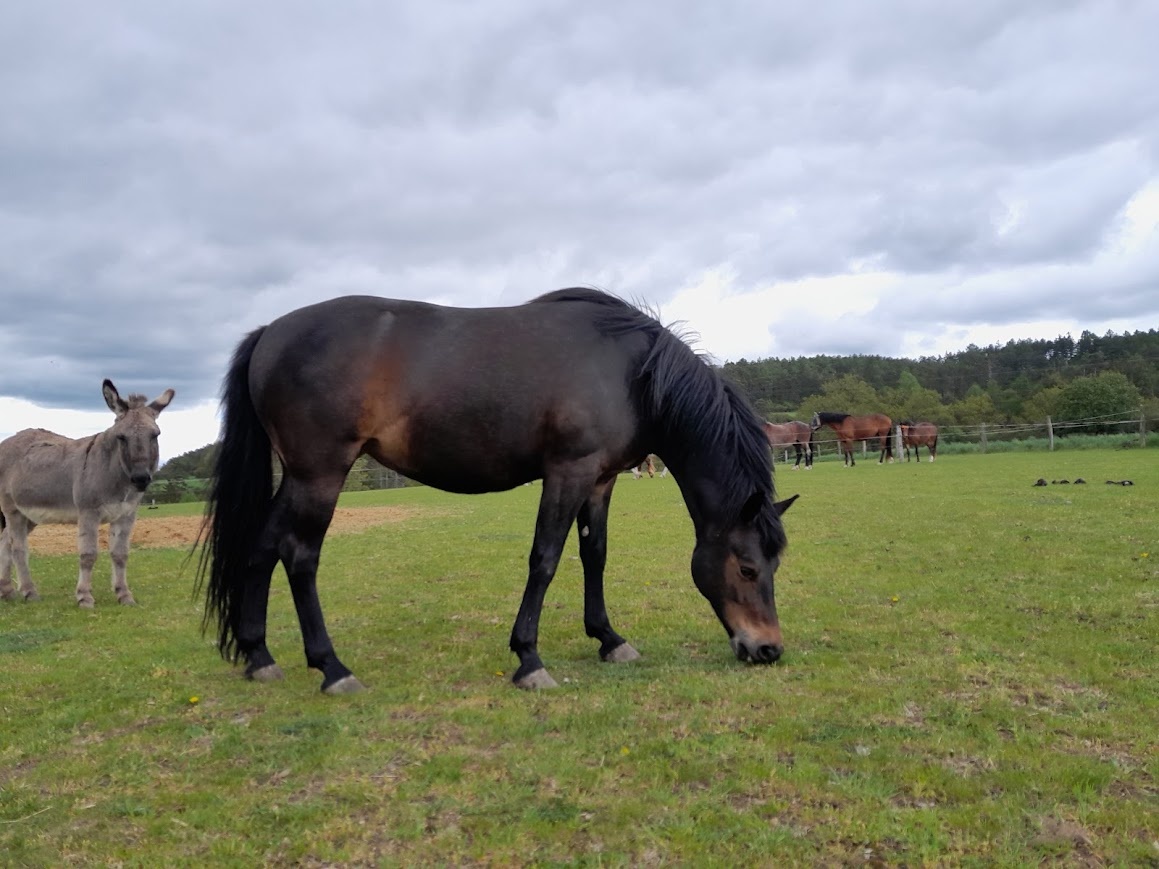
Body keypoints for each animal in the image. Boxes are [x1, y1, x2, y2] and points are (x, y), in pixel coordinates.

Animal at [0, 380, 174, 607]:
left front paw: (124, 595)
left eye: (155, 435)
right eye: (121, 437)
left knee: (5, 542)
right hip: (12, 509)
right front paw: (84, 597)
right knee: (18, 548)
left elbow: (120, 554)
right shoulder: (88, 512)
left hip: (29, 514)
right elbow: (88, 554)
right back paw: (30, 592)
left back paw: (7, 591)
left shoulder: (126, 515)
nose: (140, 479)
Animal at [197, 288, 797, 695]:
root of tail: (270, 330)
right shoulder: (568, 472)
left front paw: (608, 639)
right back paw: (332, 668)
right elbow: (545, 559)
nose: (768, 649)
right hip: (319, 474)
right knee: (300, 556)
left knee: (262, 548)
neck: (630, 371)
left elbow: (595, 556)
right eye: (747, 568)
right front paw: (529, 659)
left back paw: (259, 656)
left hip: (298, 478)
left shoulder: (600, 479)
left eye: (774, 566)